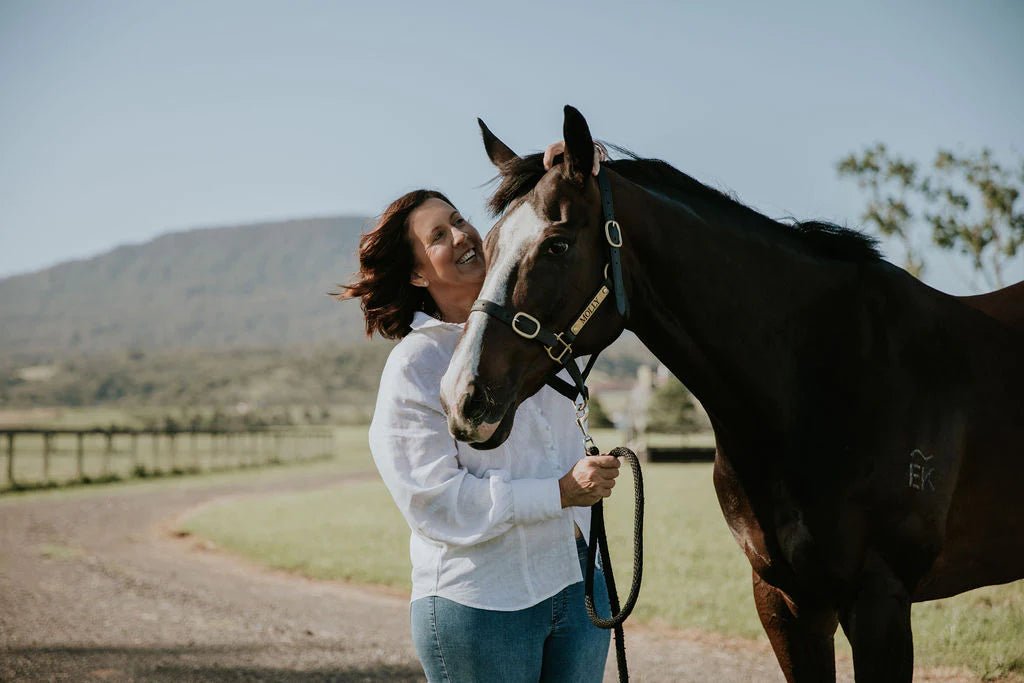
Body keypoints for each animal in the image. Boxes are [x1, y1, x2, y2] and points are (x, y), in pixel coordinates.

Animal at [438, 106, 1024, 682]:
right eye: (487, 248)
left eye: (556, 244)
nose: (462, 397)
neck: (824, 377)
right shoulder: (785, 600)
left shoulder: (879, 602)